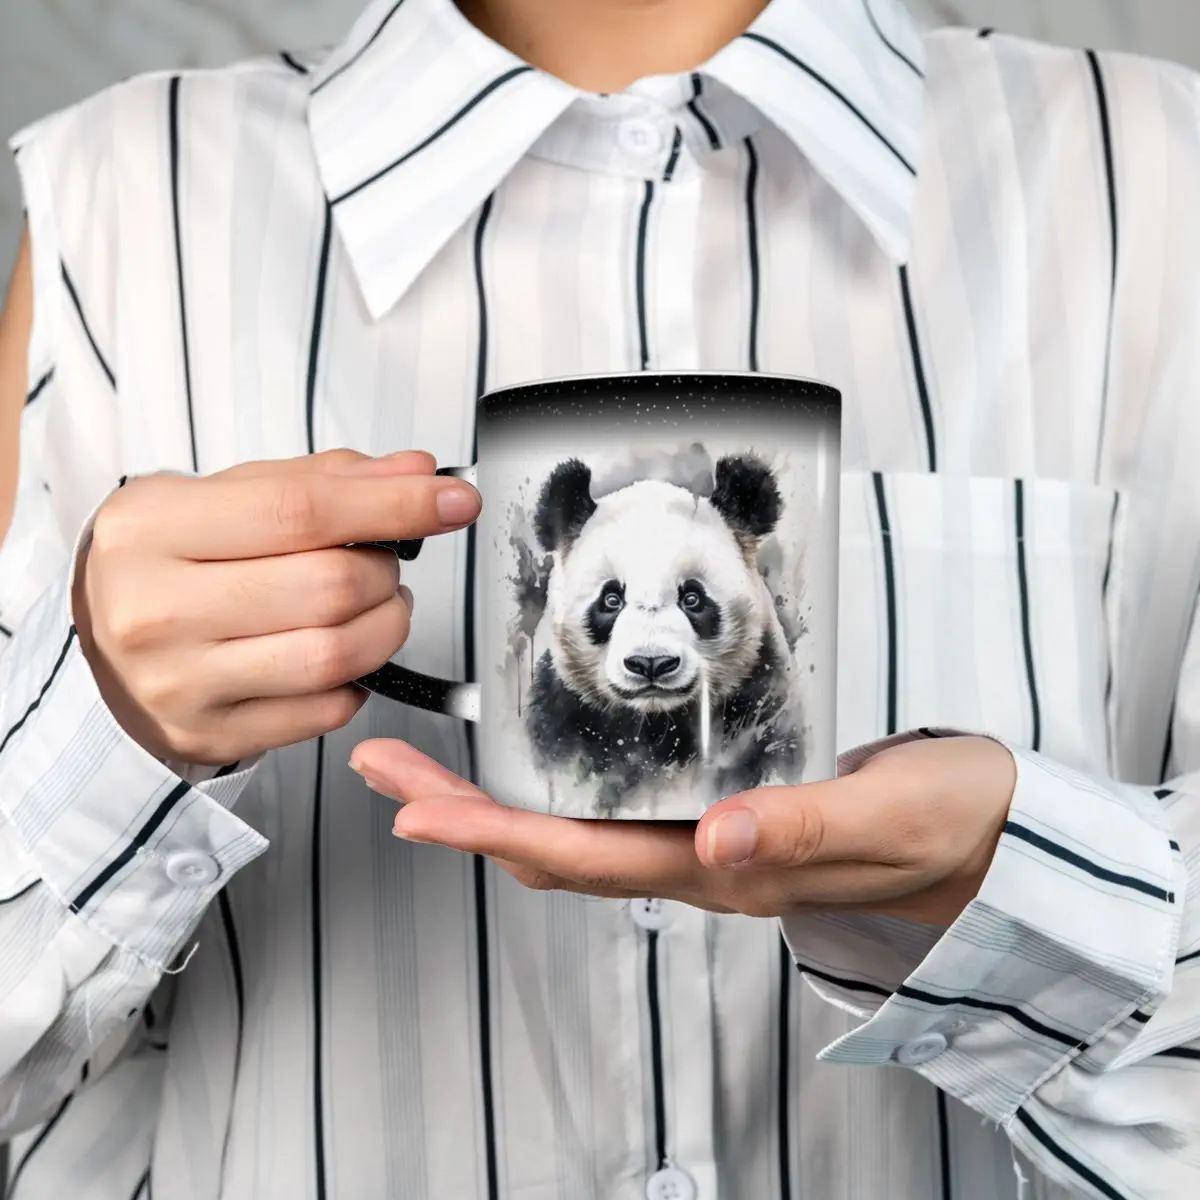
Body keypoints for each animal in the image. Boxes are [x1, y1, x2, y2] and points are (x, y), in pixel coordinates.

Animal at [525, 453, 803, 817]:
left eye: (693, 598)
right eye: (611, 600)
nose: (651, 664)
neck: (658, 725)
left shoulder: (761, 700)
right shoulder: (562, 715)